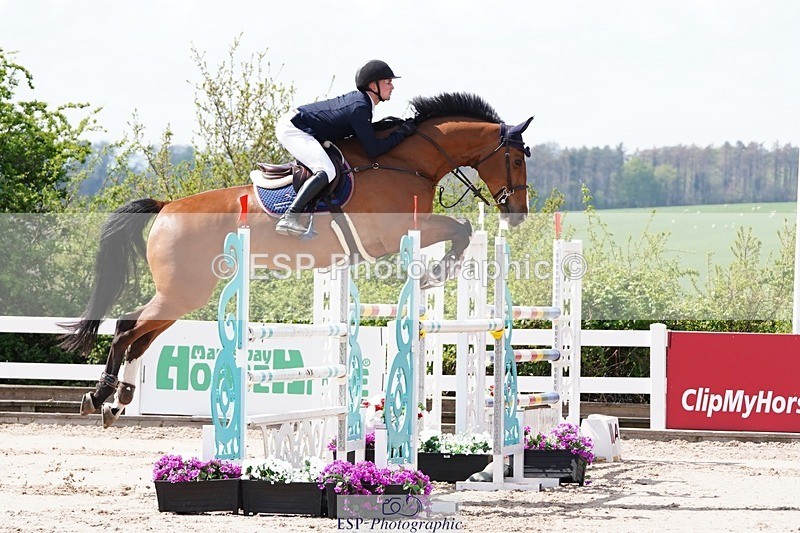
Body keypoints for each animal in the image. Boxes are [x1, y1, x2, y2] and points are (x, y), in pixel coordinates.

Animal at [59, 92, 534, 428]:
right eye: (514, 158)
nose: (518, 213)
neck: (403, 162)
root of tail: (166, 207)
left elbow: (461, 229)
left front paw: (437, 271)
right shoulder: (392, 233)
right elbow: (460, 228)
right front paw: (437, 271)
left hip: (183, 294)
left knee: (139, 335)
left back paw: (118, 401)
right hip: (184, 291)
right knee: (126, 328)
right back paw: (98, 396)